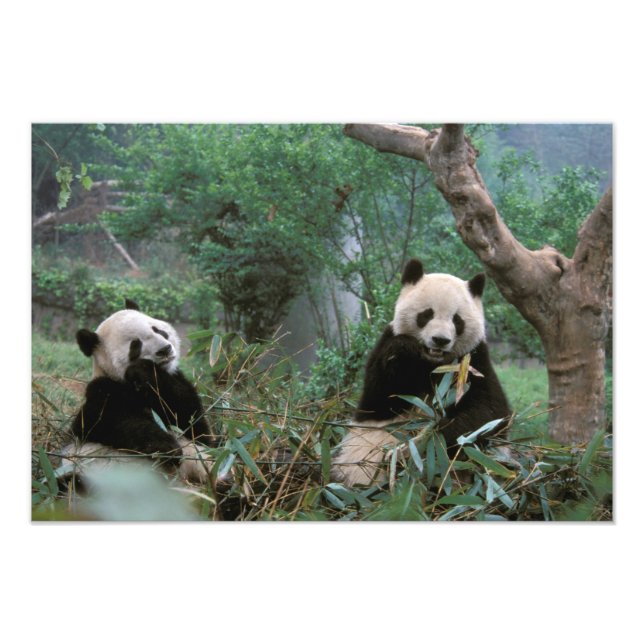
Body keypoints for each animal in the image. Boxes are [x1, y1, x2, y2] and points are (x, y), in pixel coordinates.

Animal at [62, 300, 216, 485]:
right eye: (135, 344)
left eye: (157, 329)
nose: (165, 349)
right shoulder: (101, 393)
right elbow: (111, 422)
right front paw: (168, 448)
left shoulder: (174, 382)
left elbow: (194, 423)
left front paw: (145, 370)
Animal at [331, 258, 511, 487]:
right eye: (426, 314)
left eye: (457, 320)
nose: (440, 340)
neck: (432, 362)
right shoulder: (387, 345)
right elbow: (378, 400)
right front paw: (403, 348)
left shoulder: (473, 362)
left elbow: (489, 414)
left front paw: (430, 436)